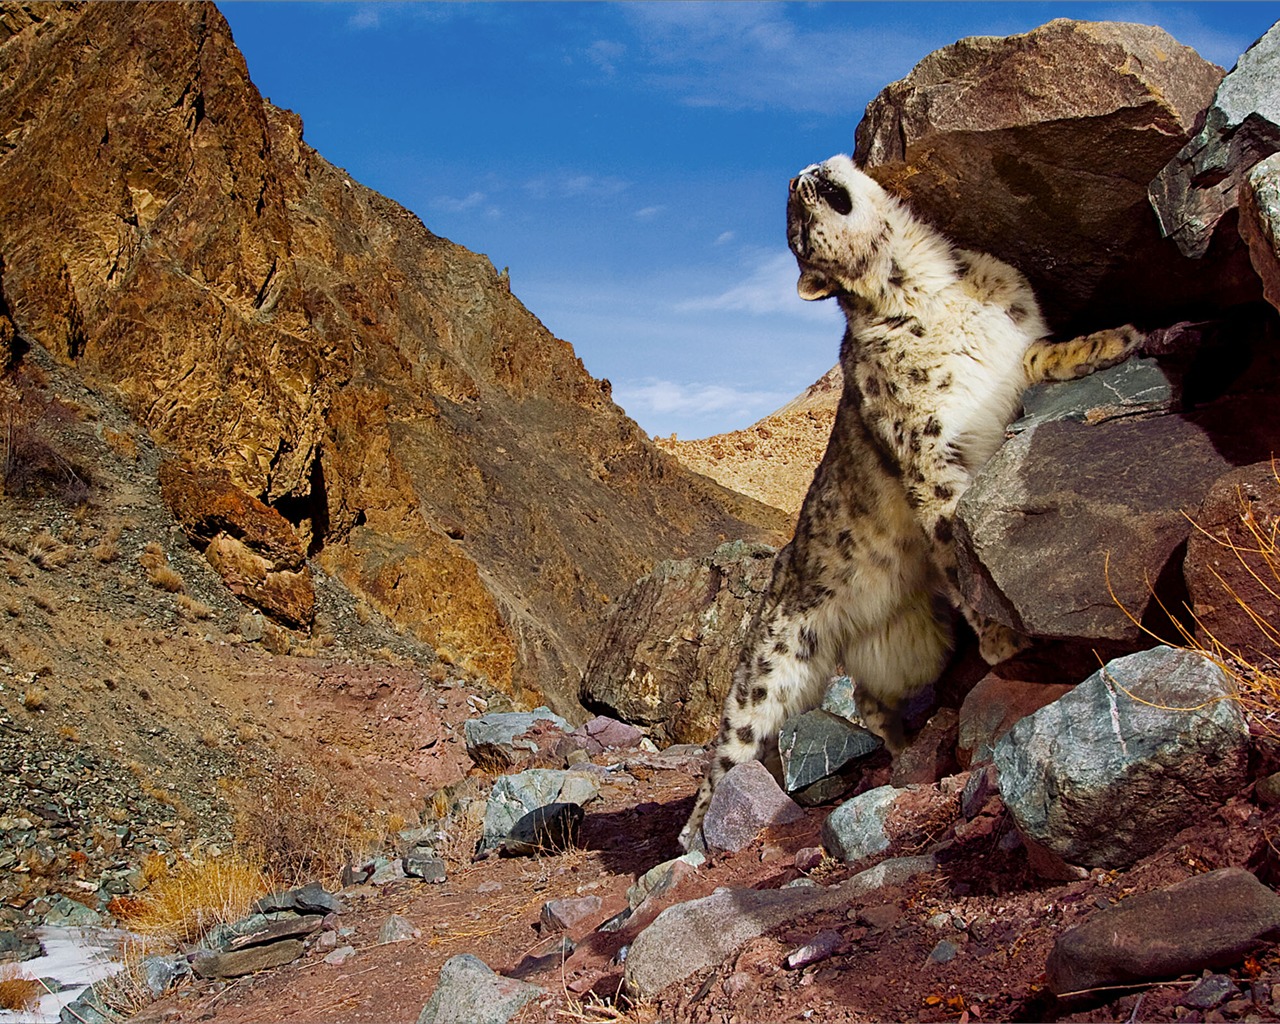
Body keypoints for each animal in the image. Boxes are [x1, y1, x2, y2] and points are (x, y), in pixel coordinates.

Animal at [680, 158, 1141, 849]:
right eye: (796, 233)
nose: (796, 180)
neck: (929, 283)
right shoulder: (927, 453)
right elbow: (952, 532)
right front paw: (1004, 638)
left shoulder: (1011, 357)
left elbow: (1042, 354)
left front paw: (1115, 339)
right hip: (766, 673)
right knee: (732, 747)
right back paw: (693, 838)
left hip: (914, 642)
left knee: (871, 698)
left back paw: (901, 745)